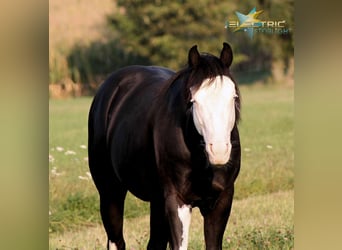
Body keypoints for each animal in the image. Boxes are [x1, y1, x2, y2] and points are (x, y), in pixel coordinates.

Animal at [89, 43, 243, 250]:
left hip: (156, 201)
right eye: (193, 100)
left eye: (233, 97)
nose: (218, 151)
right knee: (116, 240)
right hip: (110, 192)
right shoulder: (177, 202)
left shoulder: (221, 201)